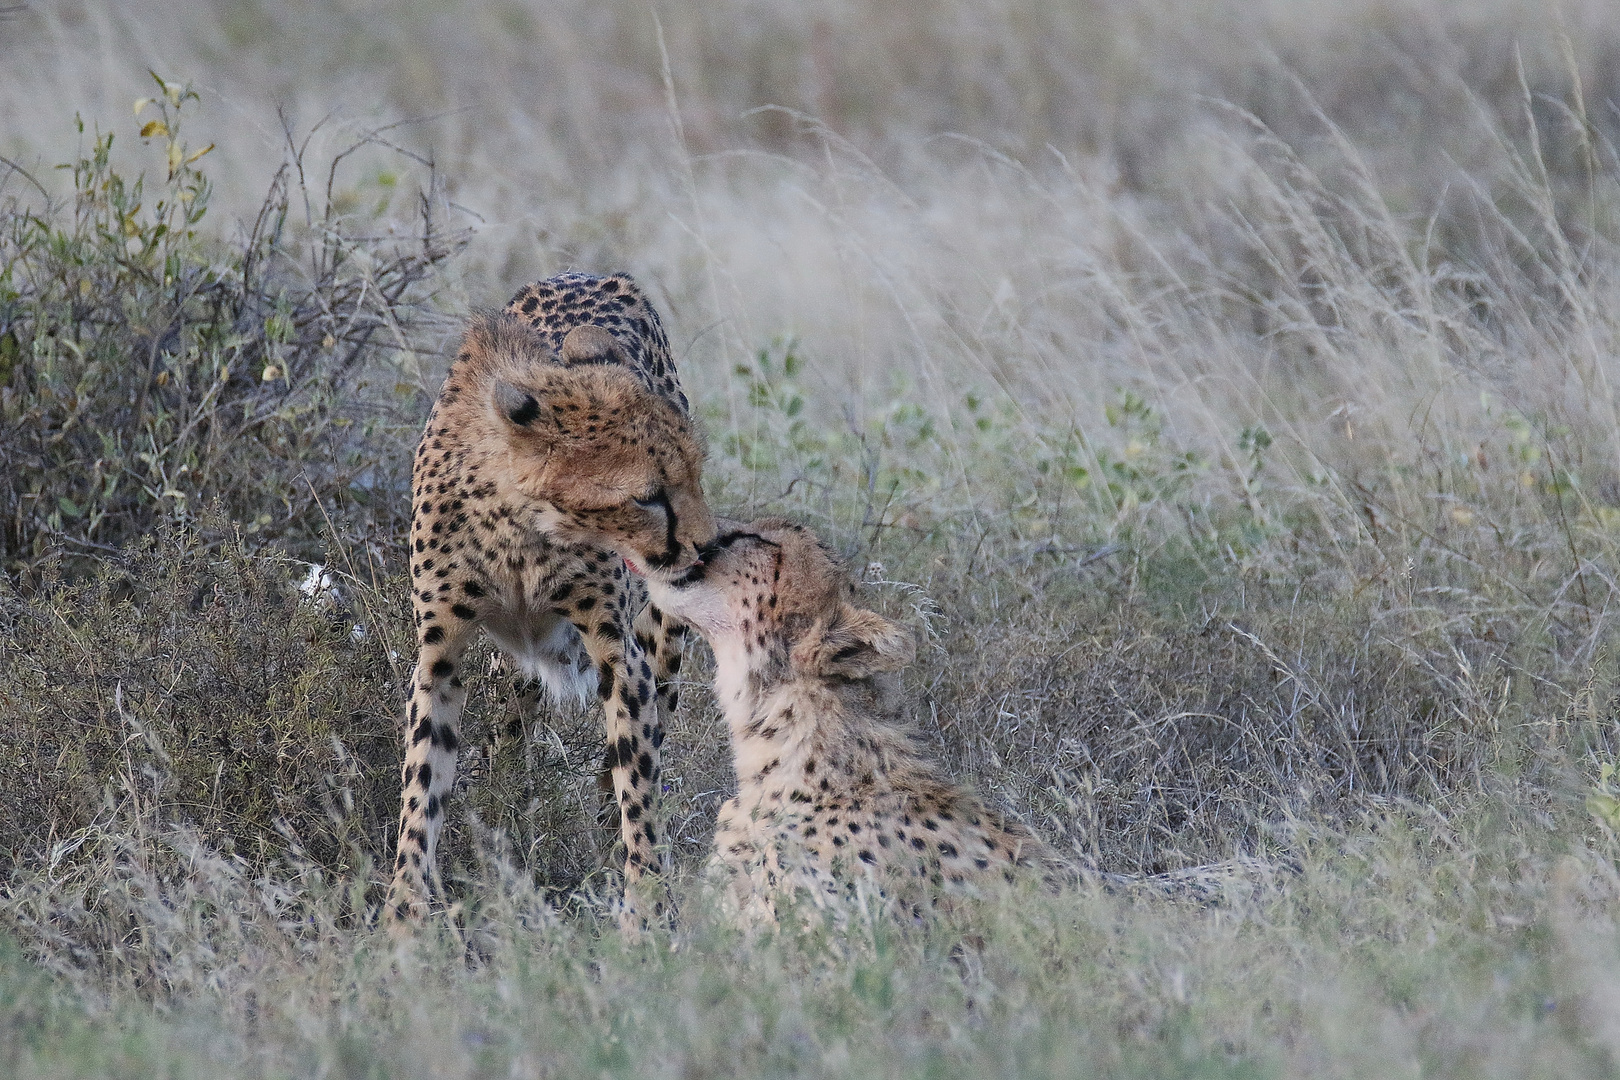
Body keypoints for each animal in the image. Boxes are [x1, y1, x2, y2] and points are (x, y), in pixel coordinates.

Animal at [388, 275, 712, 926]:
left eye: (692, 476)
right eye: (647, 496)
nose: (706, 546)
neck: (521, 519)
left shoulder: (619, 654)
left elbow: (637, 782)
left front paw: (645, 908)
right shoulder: (440, 652)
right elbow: (422, 780)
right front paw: (404, 912)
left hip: (661, 639)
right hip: (512, 669)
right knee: (513, 730)